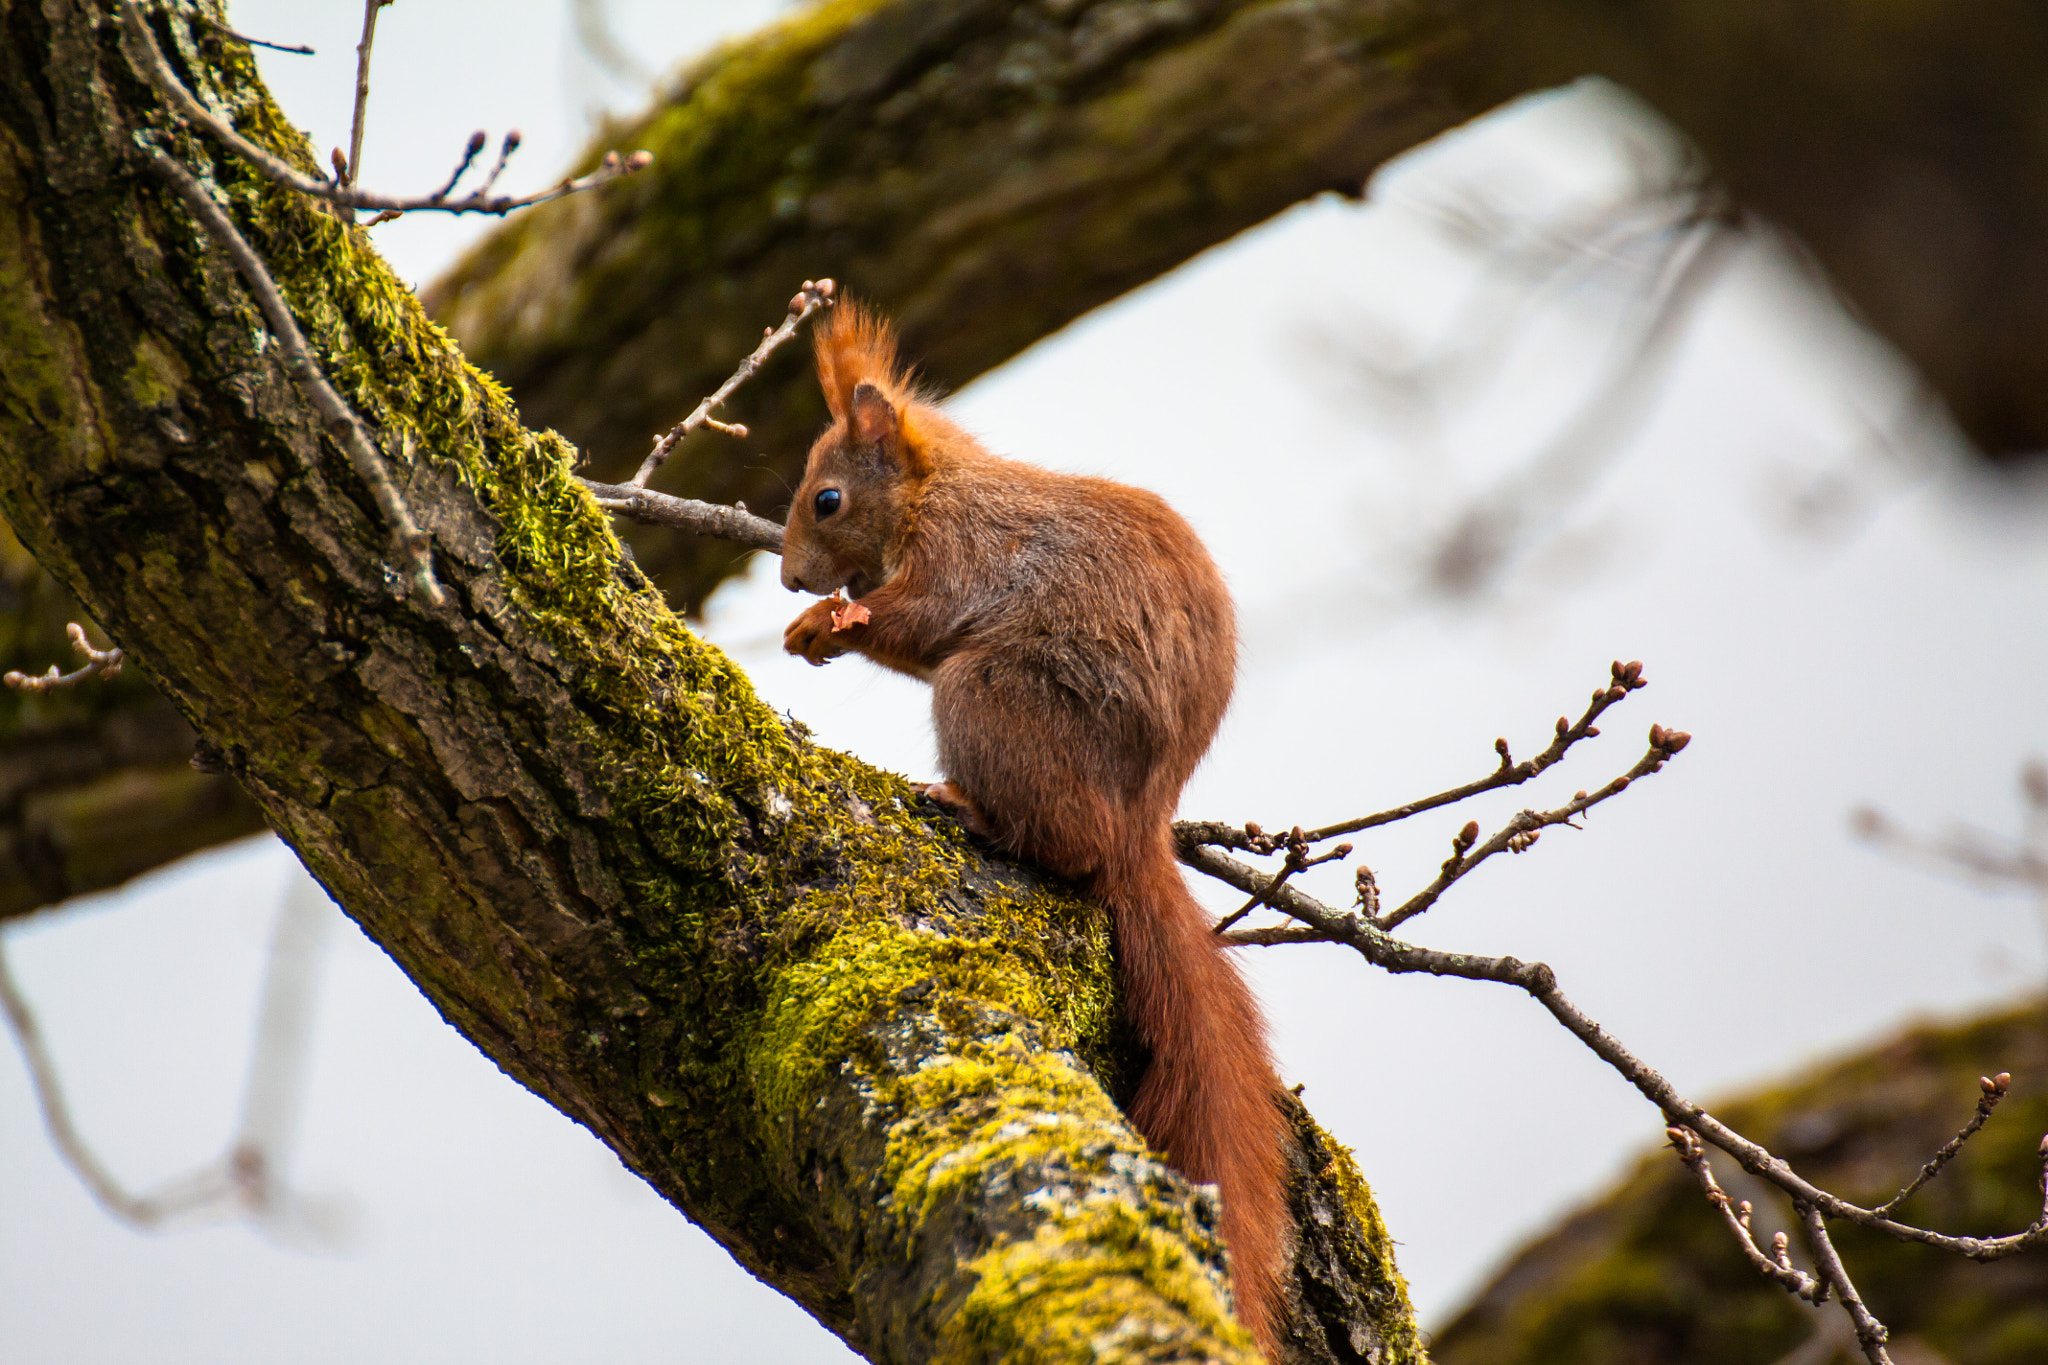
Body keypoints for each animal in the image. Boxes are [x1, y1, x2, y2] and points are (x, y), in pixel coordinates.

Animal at [779, 303, 1290, 1356]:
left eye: (828, 499)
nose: (788, 579)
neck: (937, 493)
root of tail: (1141, 824)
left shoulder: (963, 557)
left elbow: (919, 621)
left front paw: (828, 624)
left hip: (989, 698)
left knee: (1063, 845)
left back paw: (968, 804)